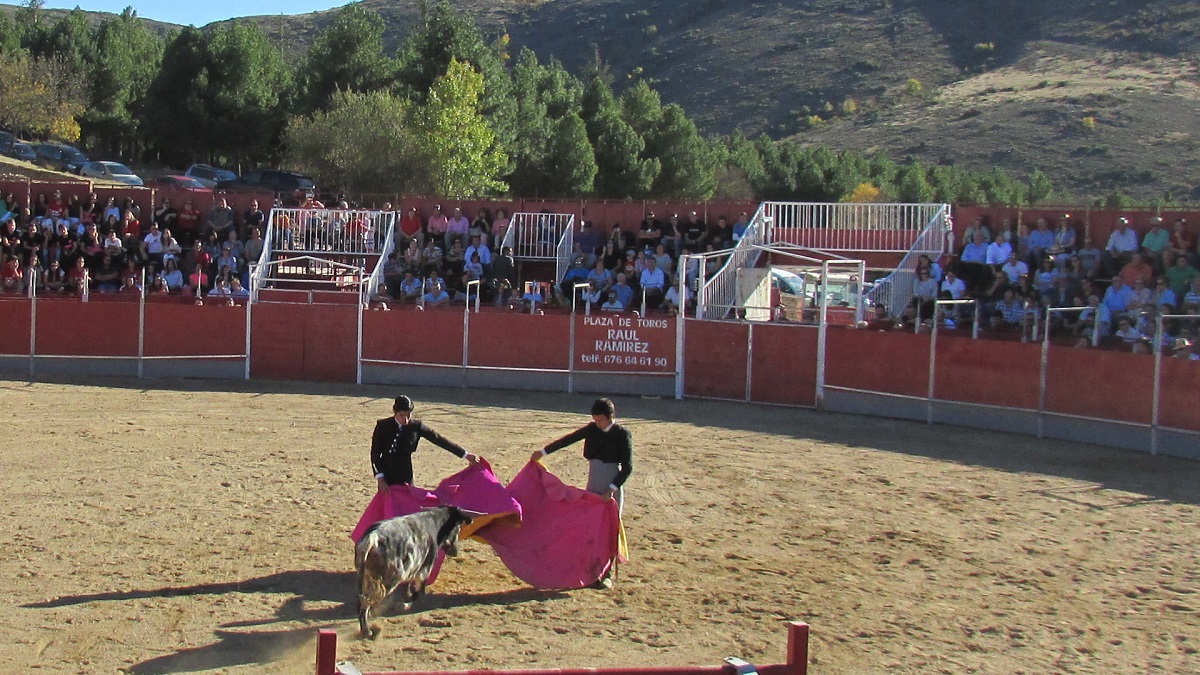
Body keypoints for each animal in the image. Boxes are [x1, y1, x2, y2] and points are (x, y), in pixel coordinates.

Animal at [350, 504, 472, 634]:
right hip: (391, 579)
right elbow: (419, 592)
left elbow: (408, 586)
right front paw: (404, 605)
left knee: (363, 600)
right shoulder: (425, 569)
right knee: (366, 602)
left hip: (367, 577)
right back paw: (367, 630)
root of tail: (373, 537)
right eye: (458, 528)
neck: (435, 522)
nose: (455, 552)